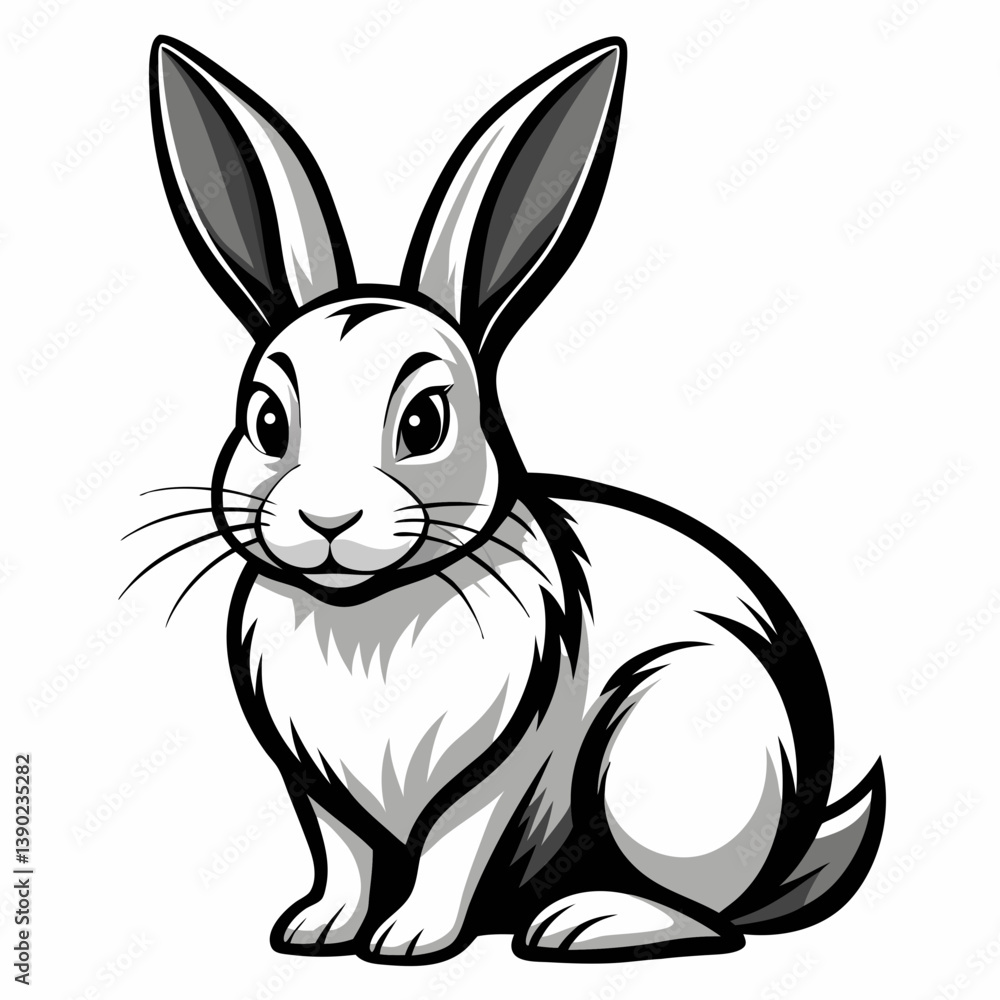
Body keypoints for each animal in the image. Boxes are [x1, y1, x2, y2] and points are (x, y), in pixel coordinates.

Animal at [143, 35, 885, 965]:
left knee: (711, 920)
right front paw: (317, 930)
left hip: (663, 761)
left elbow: (449, 854)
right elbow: (345, 860)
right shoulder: (319, 793)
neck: (368, 605)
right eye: (267, 420)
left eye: (425, 420)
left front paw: (408, 942)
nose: (327, 519)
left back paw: (581, 924)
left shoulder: (491, 778)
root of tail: (793, 847)